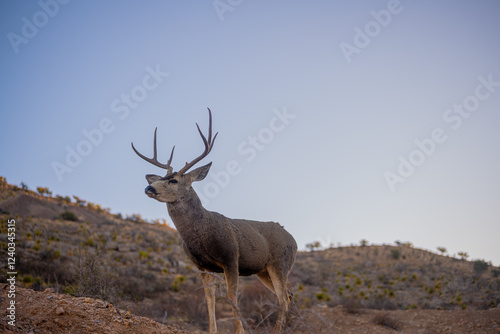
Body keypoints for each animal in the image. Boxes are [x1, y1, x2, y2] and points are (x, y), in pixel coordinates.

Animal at [131, 108, 298, 332]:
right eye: (160, 178)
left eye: (173, 180)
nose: (148, 187)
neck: (202, 232)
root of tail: (294, 240)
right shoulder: (202, 267)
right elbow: (209, 300)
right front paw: (212, 330)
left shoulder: (231, 258)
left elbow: (232, 297)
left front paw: (240, 331)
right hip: (263, 271)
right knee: (288, 296)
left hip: (280, 263)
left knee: (283, 298)